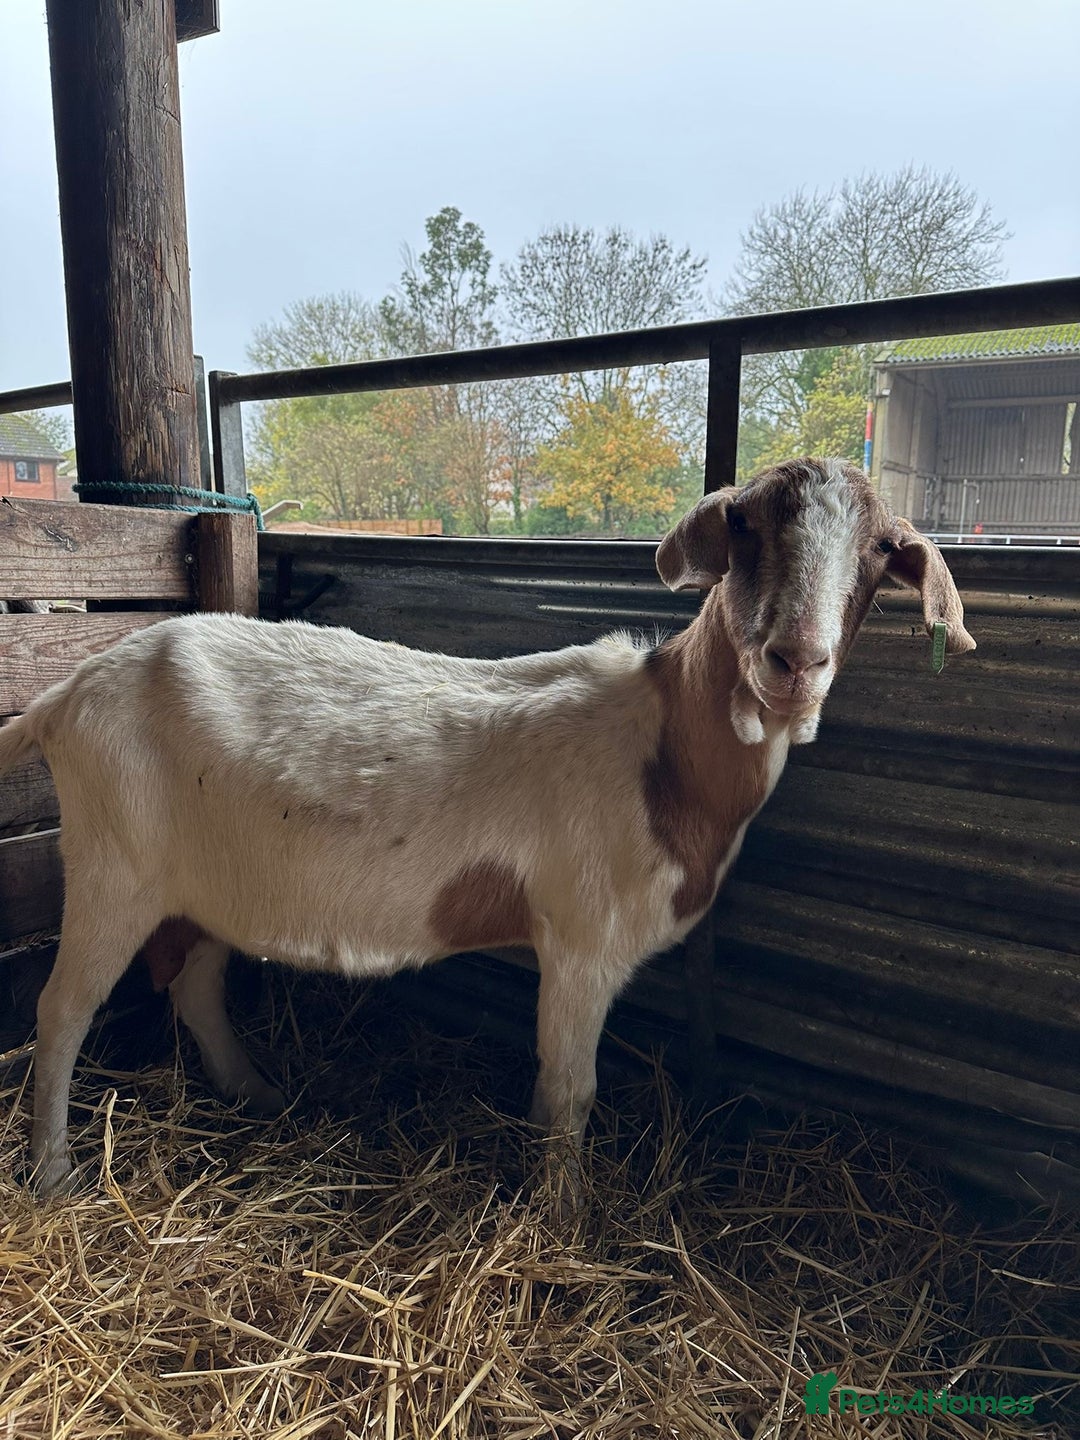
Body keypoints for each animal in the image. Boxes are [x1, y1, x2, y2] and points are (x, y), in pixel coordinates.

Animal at [0, 458, 974, 1193]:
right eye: (741, 526)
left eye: (882, 553)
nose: (795, 661)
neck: (664, 749)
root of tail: (61, 698)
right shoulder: (582, 940)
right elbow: (571, 1094)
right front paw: (562, 1222)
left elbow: (550, 1096)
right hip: (112, 866)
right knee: (62, 1009)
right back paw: (54, 1176)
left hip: (205, 881)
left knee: (195, 986)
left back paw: (258, 1093)